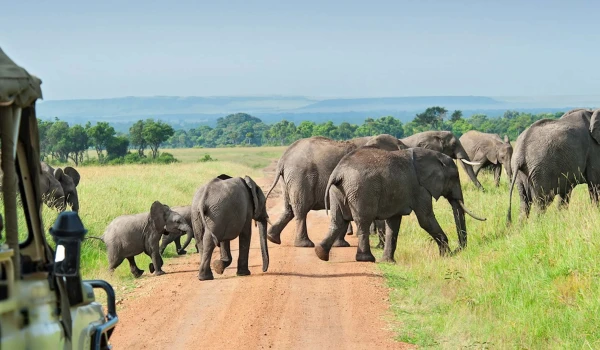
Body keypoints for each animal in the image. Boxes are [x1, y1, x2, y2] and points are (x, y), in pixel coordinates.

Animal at [264, 133, 406, 247]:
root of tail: (283, 158)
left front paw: (341, 245)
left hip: (288, 179)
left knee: (289, 209)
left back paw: (272, 238)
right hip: (301, 176)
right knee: (301, 209)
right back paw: (304, 244)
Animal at [316, 146, 486, 264]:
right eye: (455, 177)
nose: (458, 250)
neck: (433, 156)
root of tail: (338, 172)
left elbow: (394, 222)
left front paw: (388, 262)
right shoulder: (420, 188)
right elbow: (425, 219)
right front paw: (446, 256)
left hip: (338, 191)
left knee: (338, 221)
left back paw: (320, 253)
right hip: (361, 190)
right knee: (363, 221)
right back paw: (367, 259)